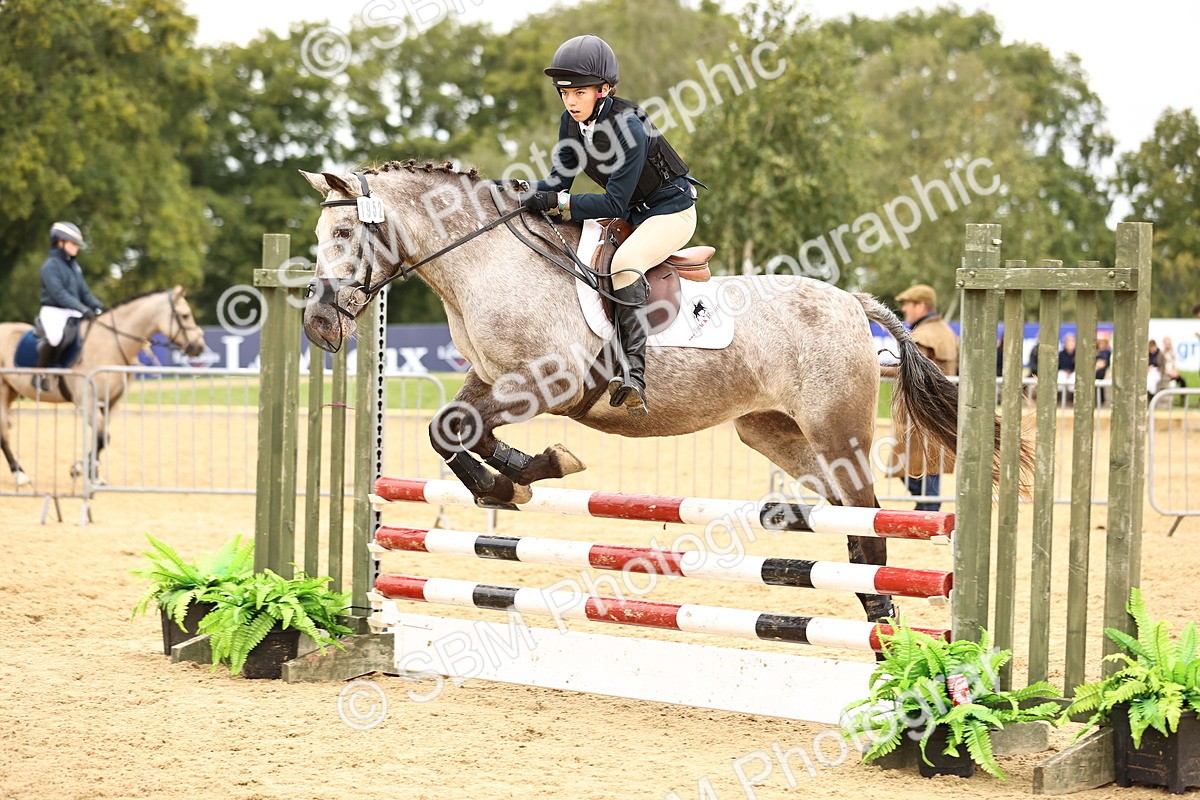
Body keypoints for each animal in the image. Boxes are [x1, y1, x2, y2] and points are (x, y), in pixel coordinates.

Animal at [0, 287, 207, 487]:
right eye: (185, 315)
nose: (199, 347)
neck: (110, 343)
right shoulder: (87, 402)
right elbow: (101, 436)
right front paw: (84, 471)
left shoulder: (111, 402)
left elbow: (101, 438)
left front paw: (86, 471)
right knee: (3, 433)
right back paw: (19, 475)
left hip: (11, 392)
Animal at [298, 160, 1028, 626]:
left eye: (344, 234)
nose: (319, 326)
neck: (487, 262)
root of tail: (852, 302)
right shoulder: (490, 380)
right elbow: (454, 427)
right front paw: (521, 475)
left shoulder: (544, 383)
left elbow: (450, 428)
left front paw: (517, 477)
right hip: (774, 432)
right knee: (851, 519)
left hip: (836, 429)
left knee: (871, 523)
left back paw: (887, 633)